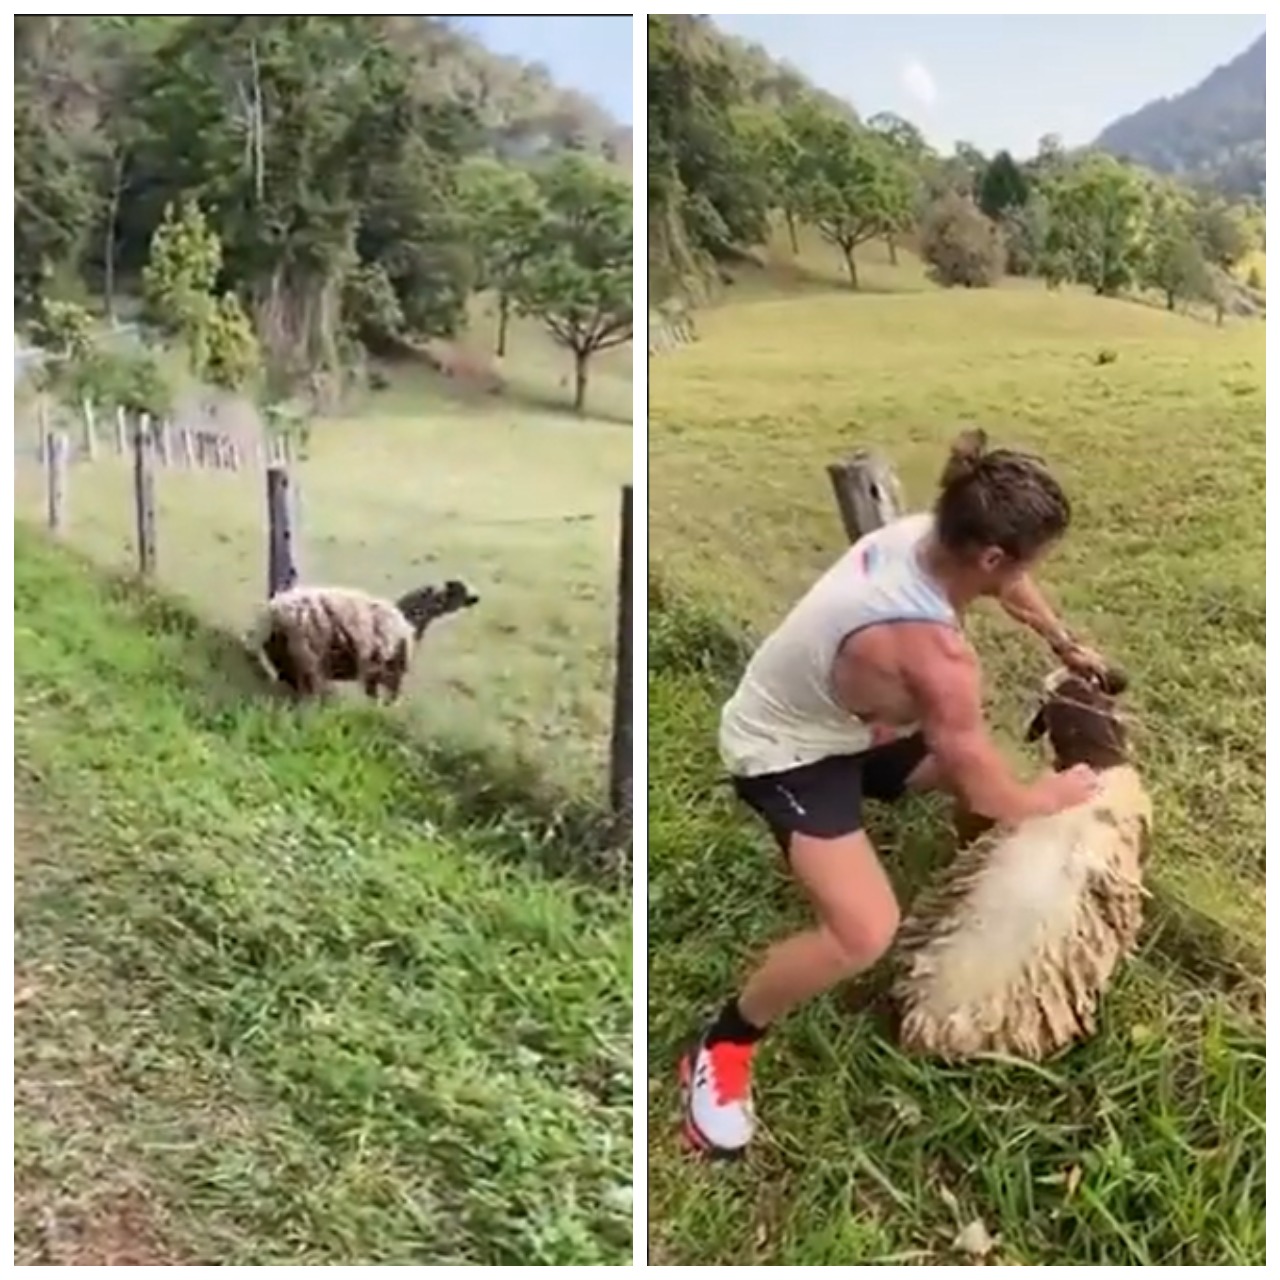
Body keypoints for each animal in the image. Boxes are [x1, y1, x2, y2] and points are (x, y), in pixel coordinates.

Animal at [247, 578, 478, 701]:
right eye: (457, 593)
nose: (476, 598)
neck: (410, 621)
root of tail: (273, 611)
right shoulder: (389, 673)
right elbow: (383, 704)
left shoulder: (374, 673)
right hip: (308, 658)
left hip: (286, 659)